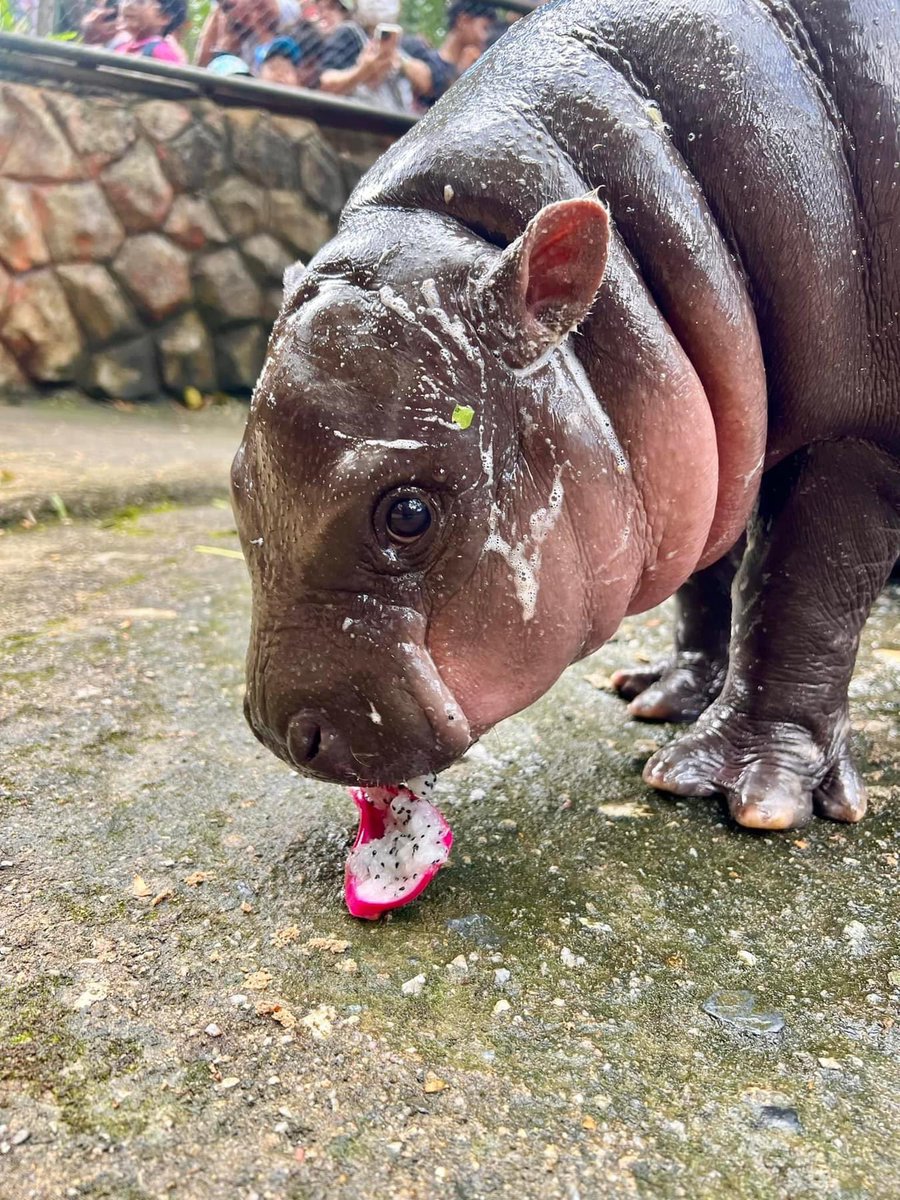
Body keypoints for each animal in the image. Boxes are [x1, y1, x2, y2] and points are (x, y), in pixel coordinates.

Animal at [232, 0, 899, 837]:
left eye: (408, 513)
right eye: (237, 484)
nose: (275, 732)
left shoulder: (855, 437)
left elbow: (800, 595)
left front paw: (744, 792)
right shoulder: (709, 436)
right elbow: (708, 575)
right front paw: (664, 695)